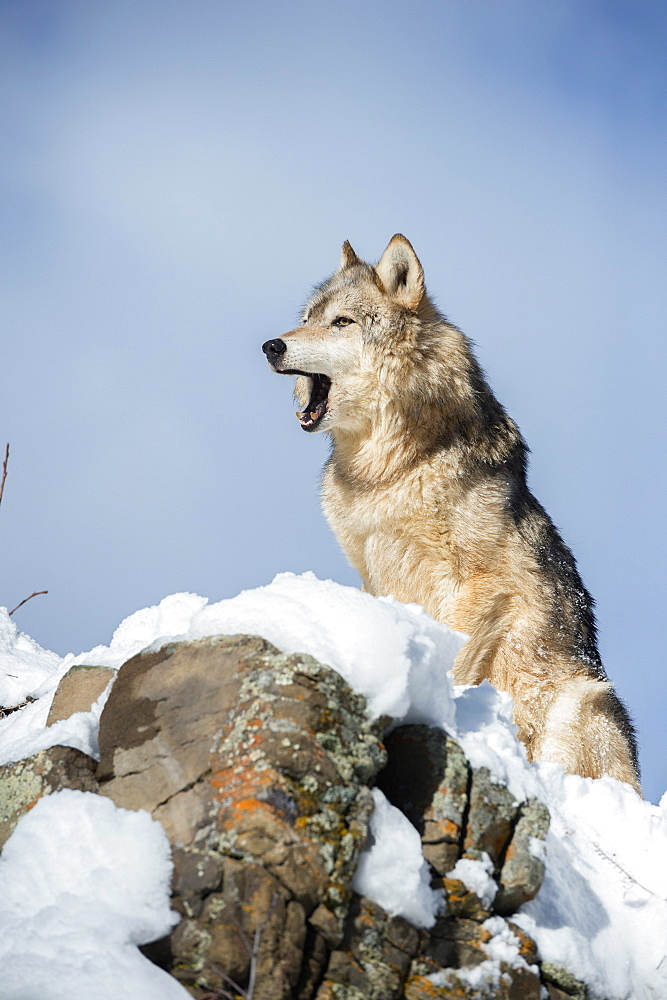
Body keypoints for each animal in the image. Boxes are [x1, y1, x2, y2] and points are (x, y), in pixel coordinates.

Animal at [262, 234, 640, 788]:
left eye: (342, 322)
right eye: (307, 317)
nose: (271, 346)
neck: (390, 470)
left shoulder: (483, 583)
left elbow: (456, 653)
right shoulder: (374, 575)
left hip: (583, 703)